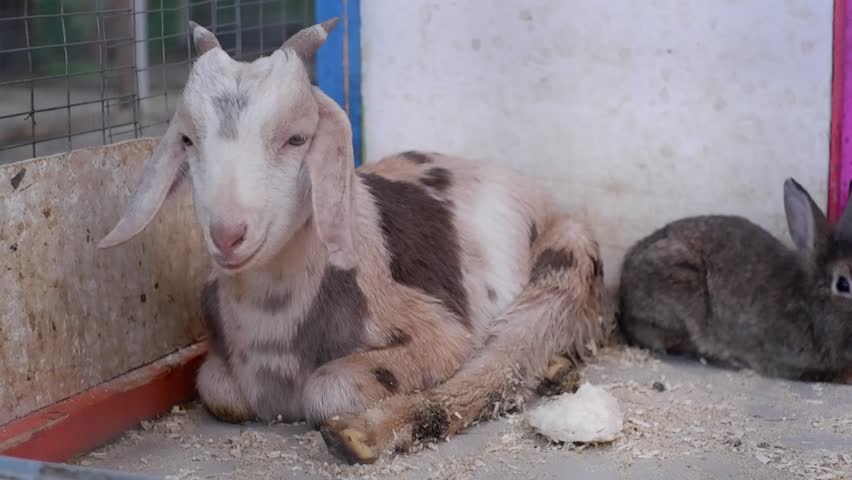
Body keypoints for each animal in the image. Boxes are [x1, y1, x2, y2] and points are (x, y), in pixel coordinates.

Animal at [99, 18, 612, 464]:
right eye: (187, 140)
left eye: (297, 138)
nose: (227, 235)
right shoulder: (221, 370)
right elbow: (217, 389)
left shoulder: (439, 332)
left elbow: (329, 389)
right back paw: (557, 369)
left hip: (565, 258)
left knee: (506, 359)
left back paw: (364, 435)